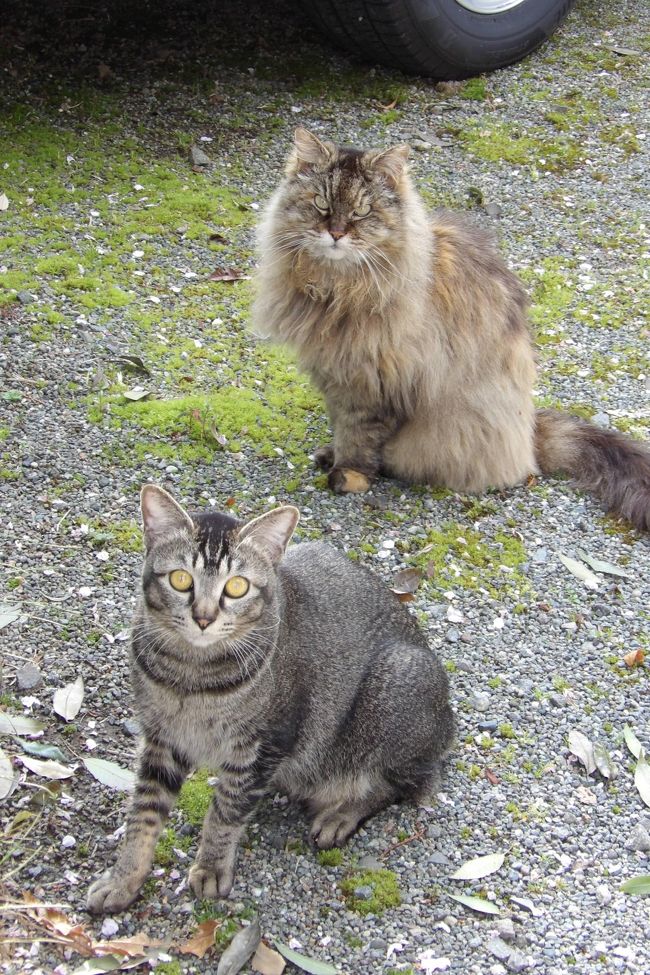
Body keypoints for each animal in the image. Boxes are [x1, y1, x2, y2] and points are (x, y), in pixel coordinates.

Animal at [86, 488, 454, 916]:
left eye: (237, 587)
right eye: (181, 580)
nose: (204, 617)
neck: (191, 677)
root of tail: (448, 721)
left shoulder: (264, 744)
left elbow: (225, 812)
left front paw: (211, 867)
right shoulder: (163, 740)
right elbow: (143, 816)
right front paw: (123, 879)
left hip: (392, 690)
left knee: (403, 782)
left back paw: (341, 814)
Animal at [252, 127, 648, 532]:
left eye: (362, 211)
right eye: (321, 203)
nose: (335, 233)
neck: (336, 288)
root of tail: (529, 437)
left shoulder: (372, 385)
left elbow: (358, 435)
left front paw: (350, 475)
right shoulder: (335, 376)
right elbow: (341, 424)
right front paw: (334, 456)